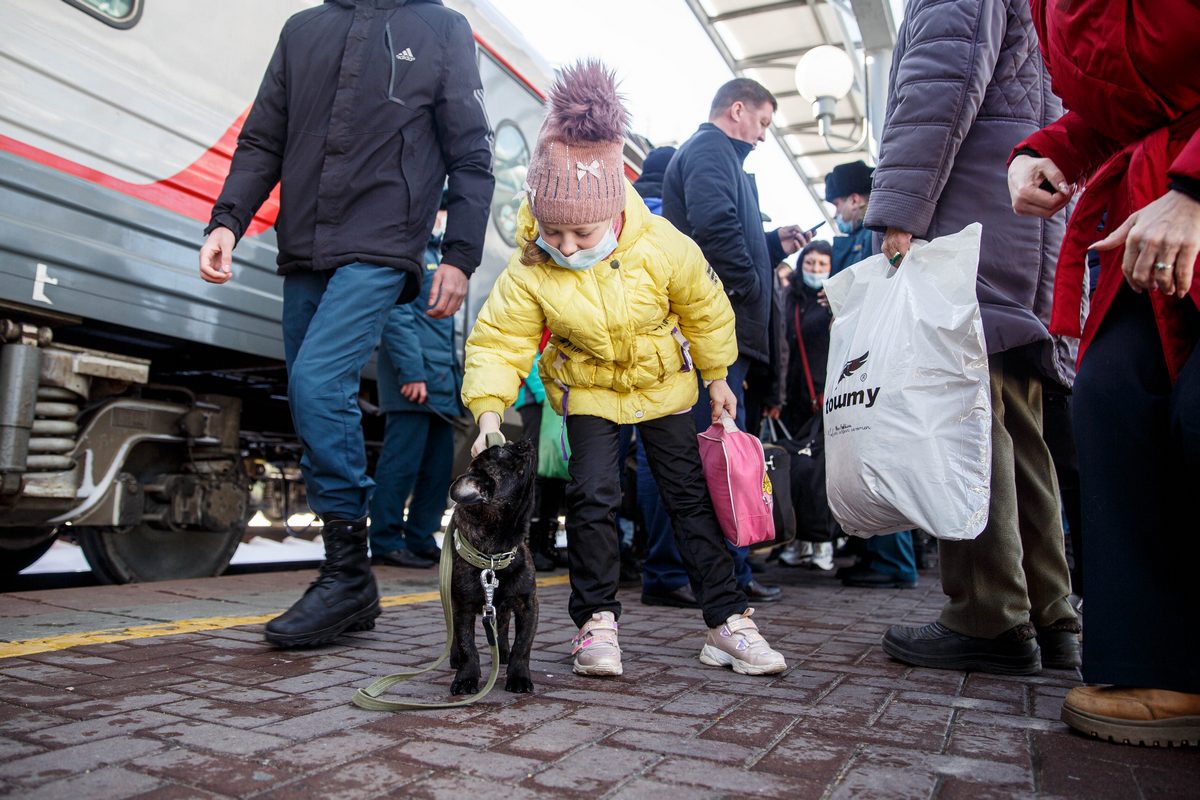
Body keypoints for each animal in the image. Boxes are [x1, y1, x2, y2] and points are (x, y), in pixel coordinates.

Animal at [448, 438, 537, 695]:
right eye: (501, 451)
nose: (523, 441)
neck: (494, 554)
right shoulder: (463, 608)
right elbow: (467, 645)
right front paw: (465, 678)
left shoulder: (528, 605)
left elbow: (522, 646)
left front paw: (519, 676)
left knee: (504, 624)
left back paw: (503, 652)